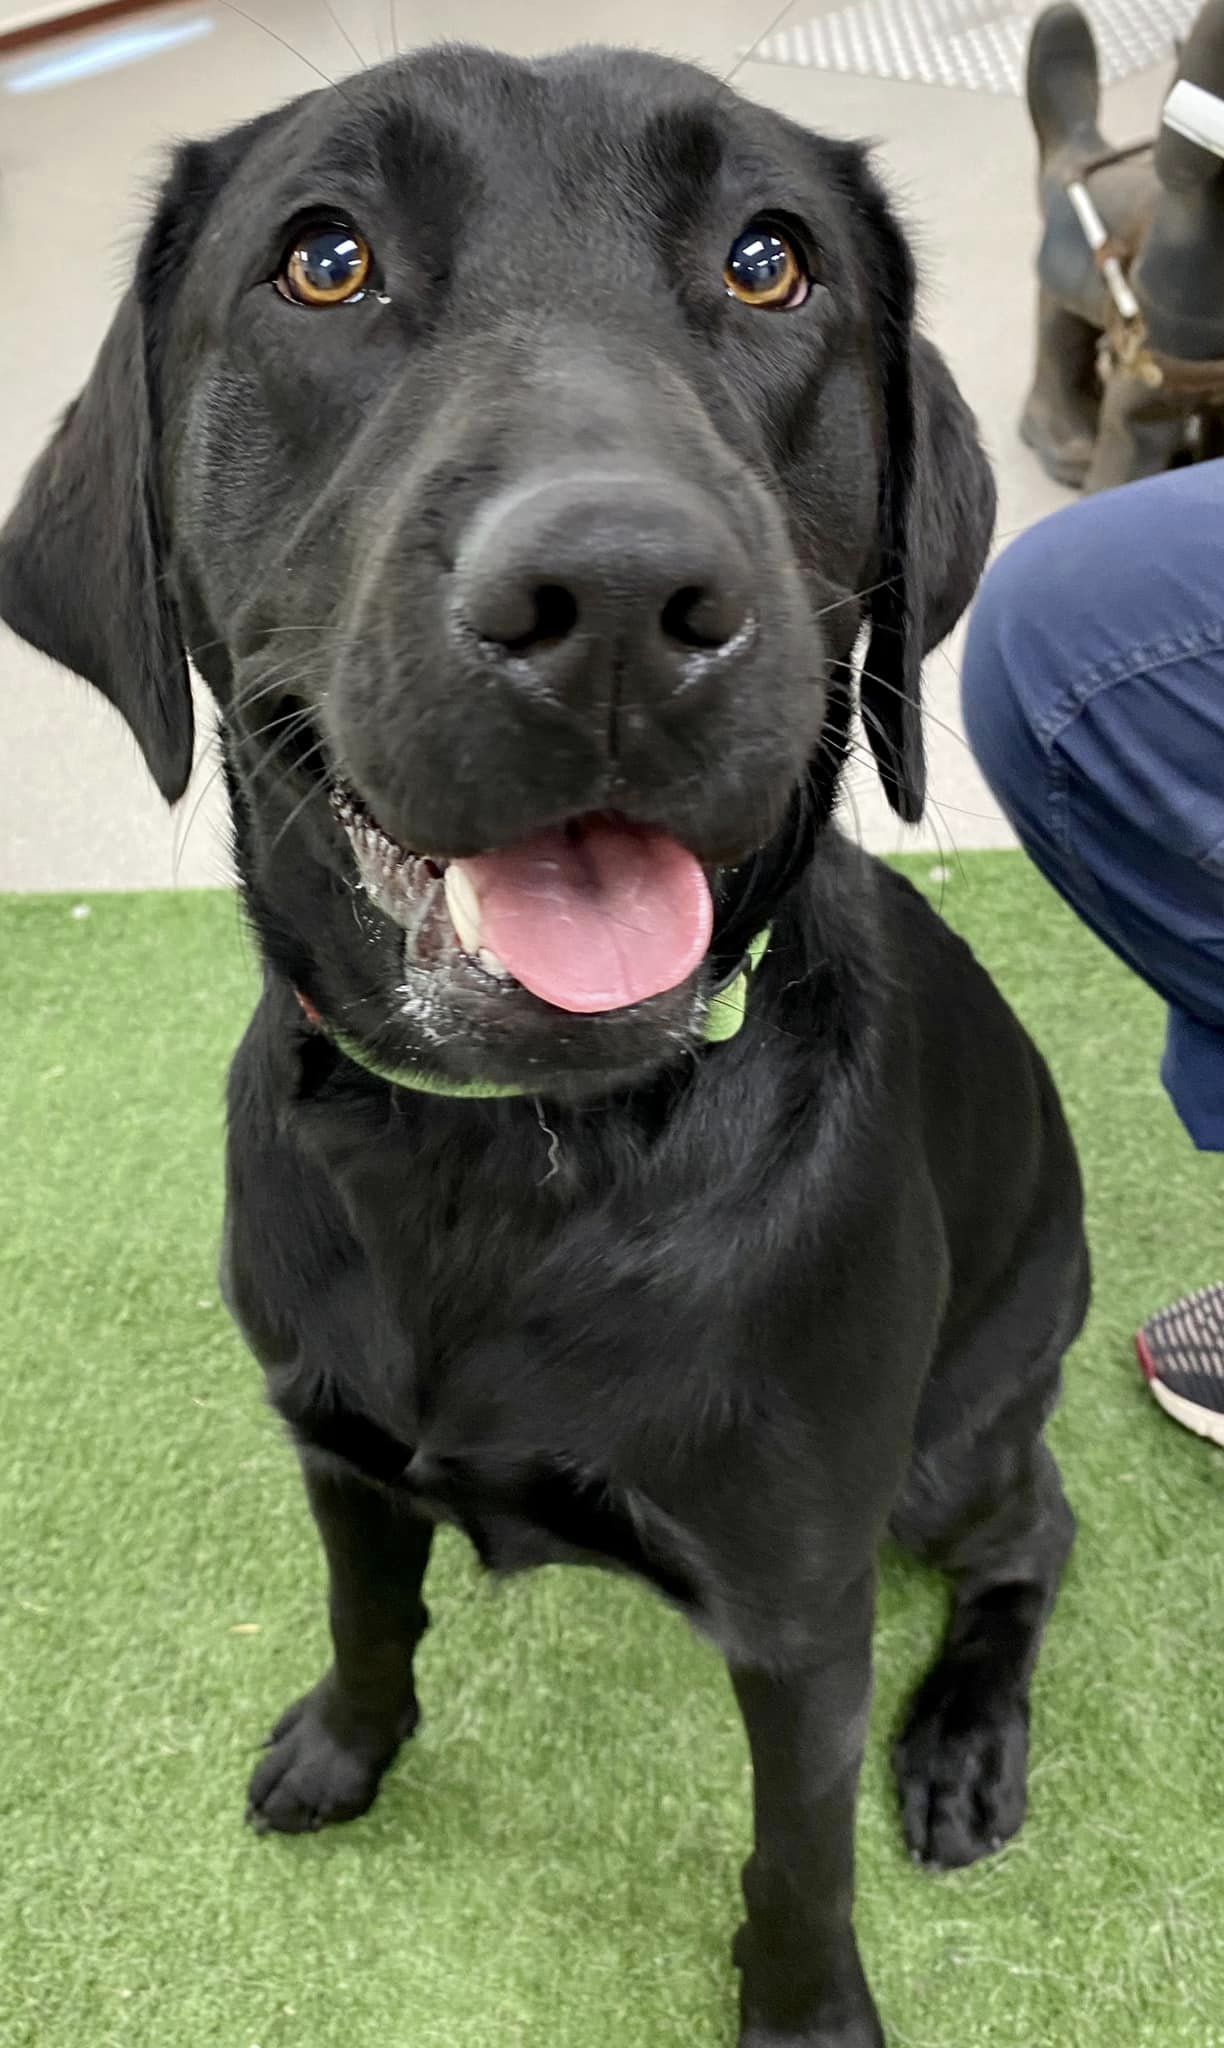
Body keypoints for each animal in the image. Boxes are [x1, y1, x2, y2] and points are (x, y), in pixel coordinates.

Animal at [0, 48, 1097, 2048]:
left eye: (769, 260)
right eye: (324, 259)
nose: (615, 601)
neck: (506, 1152)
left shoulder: (800, 1604)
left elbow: (794, 1857)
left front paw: (804, 2011)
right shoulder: (339, 1451)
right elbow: (370, 1615)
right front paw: (345, 1749)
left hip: (955, 1439)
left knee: (1030, 1535)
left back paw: (968, 1742)